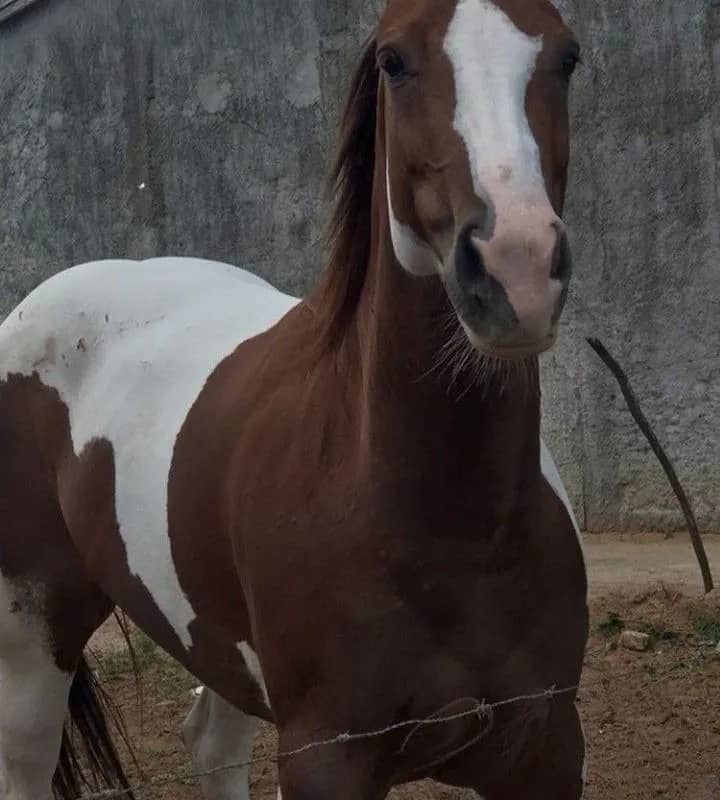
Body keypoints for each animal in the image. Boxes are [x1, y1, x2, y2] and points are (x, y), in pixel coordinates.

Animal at [0, 0, 587, 797]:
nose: (515, 269)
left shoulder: (547, 751)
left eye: (568, 56)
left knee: (212, 743)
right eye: (394, 62)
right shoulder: (324, 757)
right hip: (36, 629)